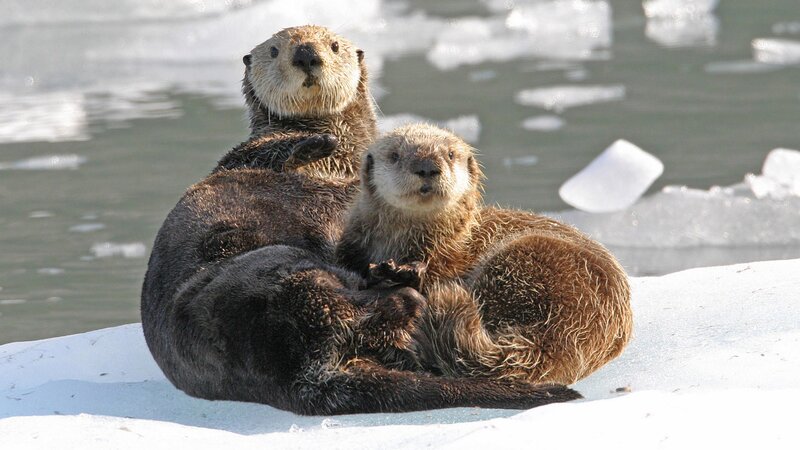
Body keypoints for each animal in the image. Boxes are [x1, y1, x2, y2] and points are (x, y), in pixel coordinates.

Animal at [141, 26, 580, 415]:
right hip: (284, 275)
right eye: (275, 50)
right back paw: (401, 287)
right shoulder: (242, 162)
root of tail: (300, 375)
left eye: (333, 45)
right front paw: (317, 143)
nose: (306, 54)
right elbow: (260, 153)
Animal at [337, 124, 633, 385]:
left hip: (522, 260)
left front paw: (401, 272)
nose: (427, 167)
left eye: (450, 154)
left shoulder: (447, 257)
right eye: (395, 155)